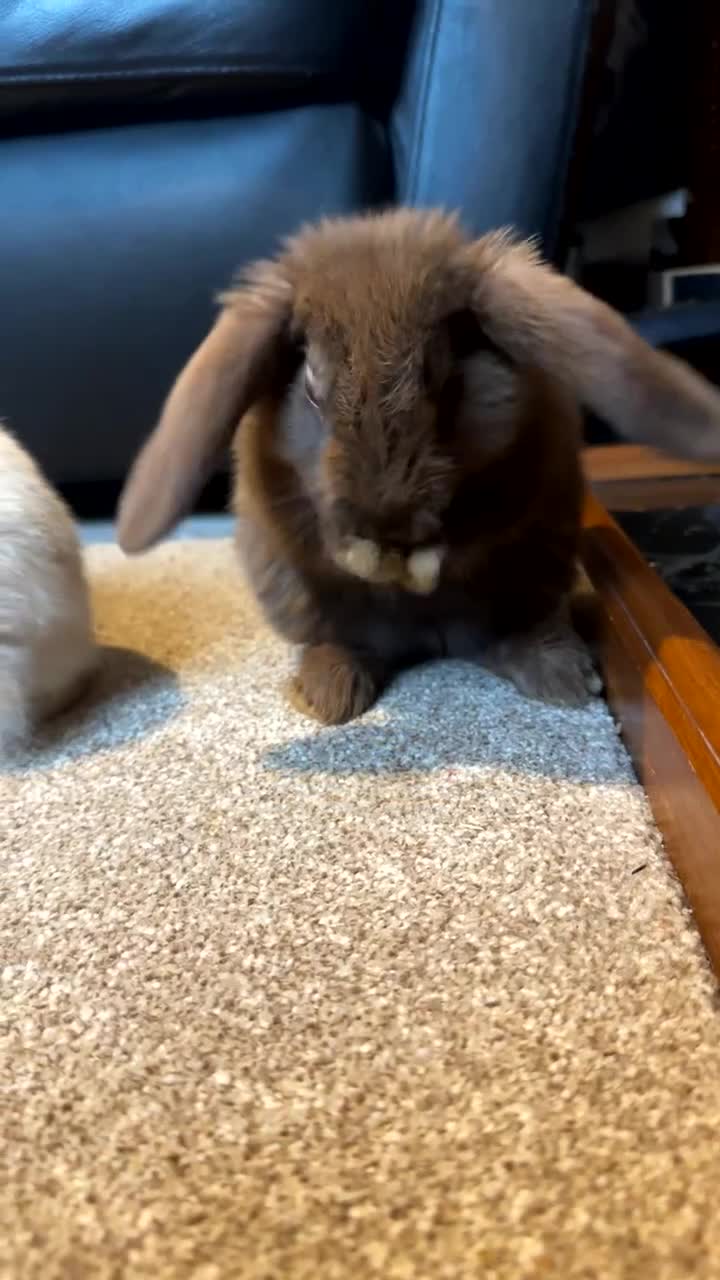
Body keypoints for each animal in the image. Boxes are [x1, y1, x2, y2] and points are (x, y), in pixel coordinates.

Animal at [115, 208, 720, 724]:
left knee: (514, 628)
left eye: (443, 375)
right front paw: (368, 558)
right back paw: (330, 693)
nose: (386, 518)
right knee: (346, 641)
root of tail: (432, 639)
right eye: (310, 385)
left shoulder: (514, 486)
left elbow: (476, 528)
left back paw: (567, 679)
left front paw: (421, 561)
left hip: (536, 571)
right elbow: (329, 540)